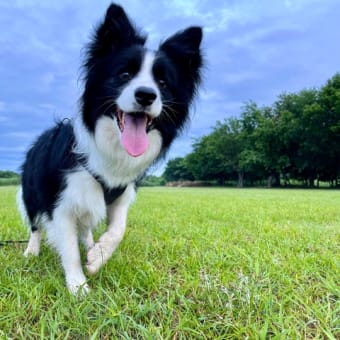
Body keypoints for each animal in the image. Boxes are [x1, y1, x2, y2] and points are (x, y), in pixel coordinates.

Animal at [17, 2, 203, 294]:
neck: (111, 146)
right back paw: (32, 251)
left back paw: (91, 244)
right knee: (35, 223)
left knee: (85, 227)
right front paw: (78, 286)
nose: (146, 95)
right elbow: (68, 247)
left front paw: (97, 257)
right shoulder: (61, 201)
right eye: (124, 74)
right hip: (32, 191)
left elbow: (118, 229)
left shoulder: (121, 194)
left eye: (163, 83)